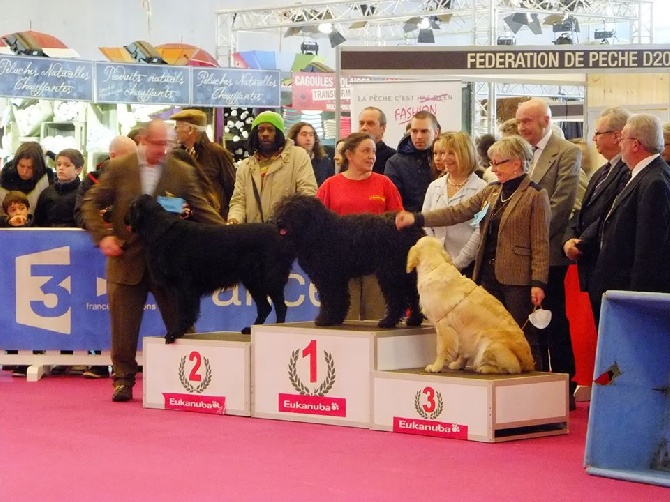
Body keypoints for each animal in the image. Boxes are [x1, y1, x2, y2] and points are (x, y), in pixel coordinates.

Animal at [126, 194, 294, 344]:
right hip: (253, 281)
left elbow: (185, 311)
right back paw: (252, 328)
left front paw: (176, 332)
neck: (162, 231)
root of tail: (280, 233)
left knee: (280, 306)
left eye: (130, 208)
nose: (122, 218)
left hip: (270, 278)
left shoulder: (184, 286)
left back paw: (277, 328)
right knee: (265, 306)